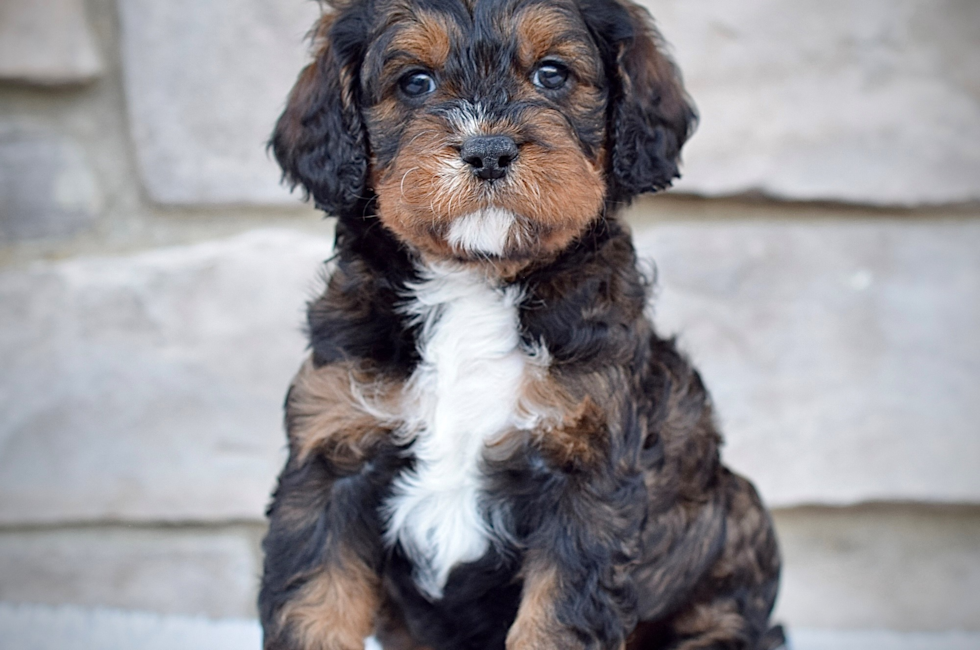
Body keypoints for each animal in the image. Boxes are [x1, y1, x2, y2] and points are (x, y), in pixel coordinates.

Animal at [258, 1, 780, 648]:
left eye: (552, 74)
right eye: (415, 82)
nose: (488, 150)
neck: (474, 283)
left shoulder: (587, 472)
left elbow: (556, 622)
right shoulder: (331, 457)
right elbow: (314, 606)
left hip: (736, 520)